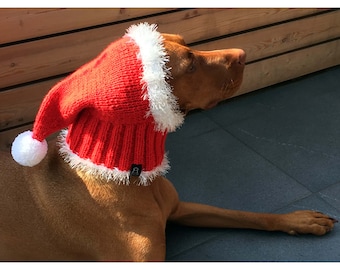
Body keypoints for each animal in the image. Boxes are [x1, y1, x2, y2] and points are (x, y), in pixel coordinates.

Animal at [0, 24, 334, 260]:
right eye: (190, 65)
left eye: (187, 43)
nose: (242, 53)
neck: (129, 176)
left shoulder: (179, 208)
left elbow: (243, 214)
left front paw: (299, 220)